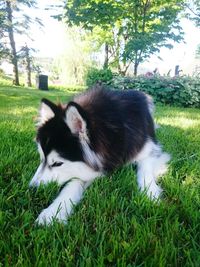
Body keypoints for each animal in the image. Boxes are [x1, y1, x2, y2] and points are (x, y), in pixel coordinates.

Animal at [30, 87, 170, 225]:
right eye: (41, 159)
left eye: (57, 163)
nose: (32, 189)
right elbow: (74, 183)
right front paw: (53, 212)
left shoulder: (150, 149)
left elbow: (145, 169)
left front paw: (150, 193)